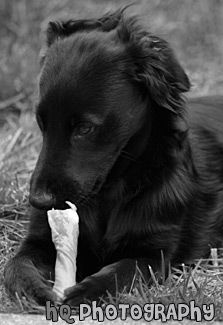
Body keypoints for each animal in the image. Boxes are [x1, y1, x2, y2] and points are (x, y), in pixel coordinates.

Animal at [3, 8, 223, 306]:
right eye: (41, 122)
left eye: (85, 128)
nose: (37, 201)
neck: (107, 194)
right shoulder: (40, 240)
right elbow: (16, 265)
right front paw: (32, 288)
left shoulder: (153, 253)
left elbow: (120, 271)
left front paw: (84, 292)